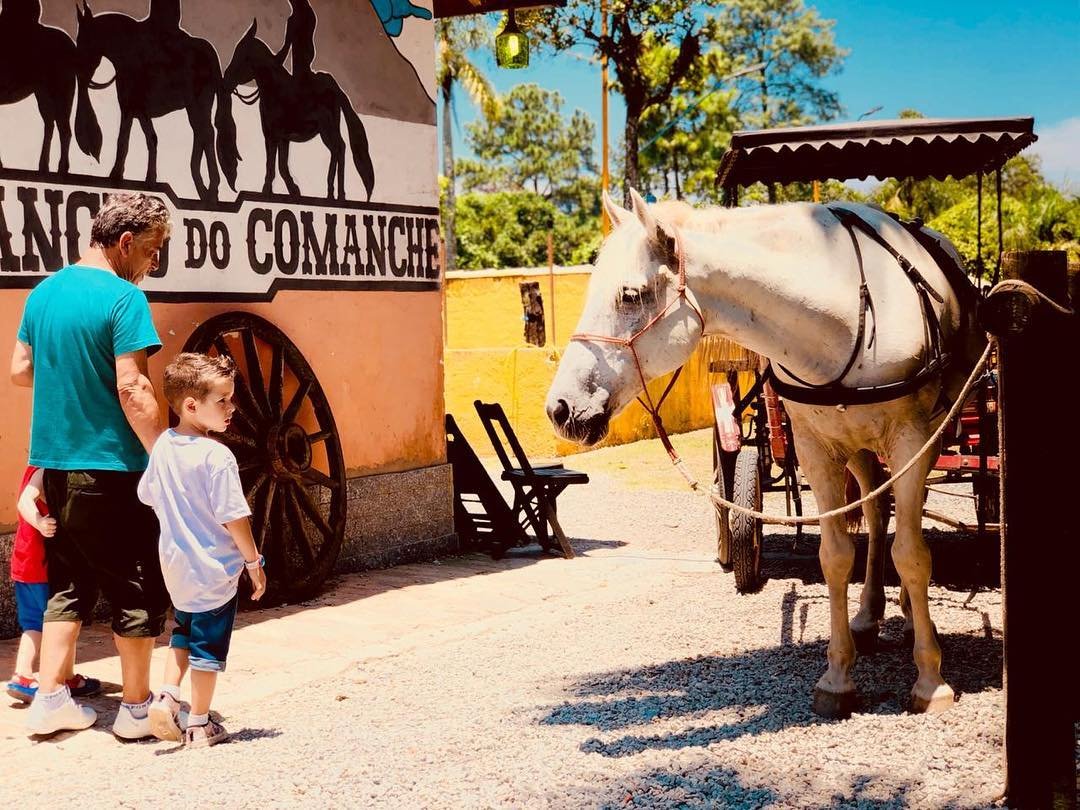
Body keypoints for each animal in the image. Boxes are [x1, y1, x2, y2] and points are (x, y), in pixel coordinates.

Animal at [0, 3, 101, 173]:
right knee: (50, 125)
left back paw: (62, 168)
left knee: (64, 129)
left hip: (62, 91)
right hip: (44, 94)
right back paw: (44, 166)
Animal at [75, 0, 239, 200]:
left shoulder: (131, 106)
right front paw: (141, 178)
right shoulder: (137, 109)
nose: (79, 72)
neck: (127, 50)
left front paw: (121, 176)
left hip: (197, 102)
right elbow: (144, 139)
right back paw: (202, 187)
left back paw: (211, 188)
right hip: (199, 104)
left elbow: (129, 139)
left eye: (82, 39)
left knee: (205, 133)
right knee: (201, 133)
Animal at [222, 20, 375, 201]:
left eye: (242, 55)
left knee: (339, 148)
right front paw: (291, 190)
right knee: (338, 149)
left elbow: (273, 164)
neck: (275, 90)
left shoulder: (274, 135)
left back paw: (336, 194)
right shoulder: (279, 137)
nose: (226, 80)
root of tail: (335, 87)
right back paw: (334, 194)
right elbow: (280, 164)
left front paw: (269, 191)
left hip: (327, 129)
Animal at [545, 189, 985, 718]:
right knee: (879, 512)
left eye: (630, 295)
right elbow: (836, 556)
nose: (559, 407)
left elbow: (914, 556)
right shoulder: (817, 448)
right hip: (858, 447)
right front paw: (838, 677)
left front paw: (930, 679)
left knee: (902, 525)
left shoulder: (912, 440)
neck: (846, 308)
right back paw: (869, 613)